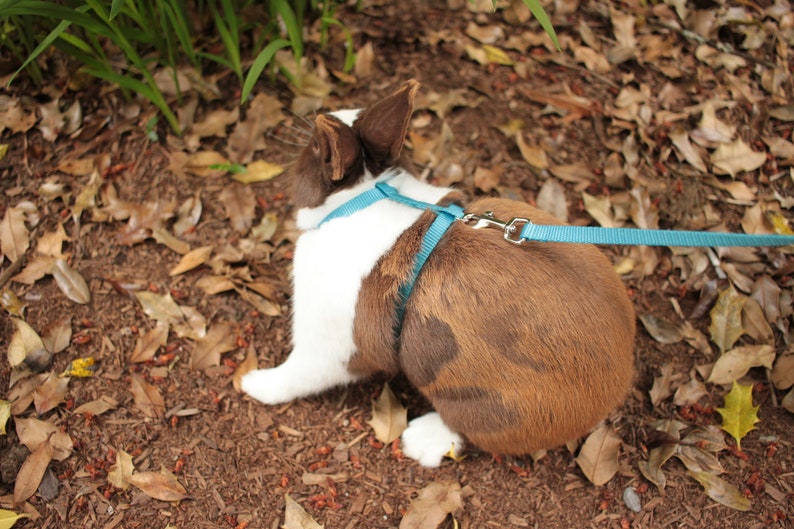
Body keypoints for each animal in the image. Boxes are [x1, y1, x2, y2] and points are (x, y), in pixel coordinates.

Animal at [241, 80, 636, 467]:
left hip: (486, 405)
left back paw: (420, 439)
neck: (365, 197)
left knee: (471, 434)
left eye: (314, 149)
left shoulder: (328, 344)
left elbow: (297, 375)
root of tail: (615, 387)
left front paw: (253, 383)